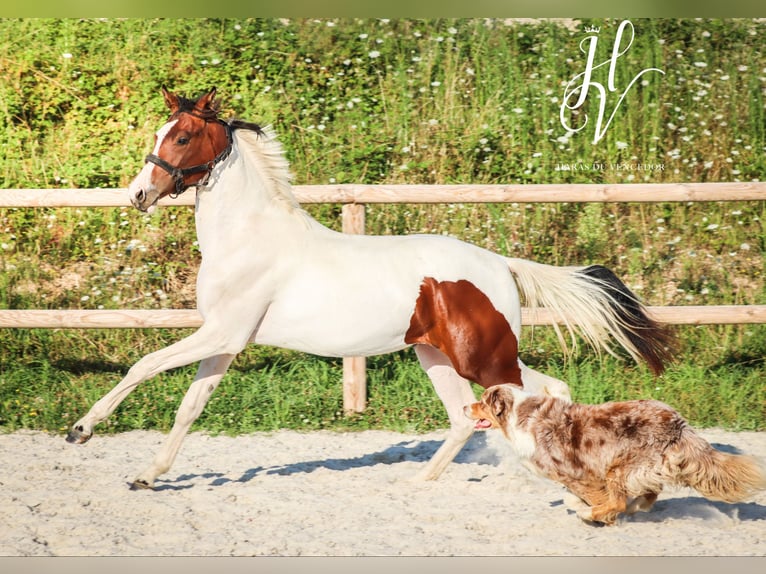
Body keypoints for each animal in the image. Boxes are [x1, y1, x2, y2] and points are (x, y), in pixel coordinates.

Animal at [67, 88, 680, 492]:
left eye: (183, 135)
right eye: (159, 133)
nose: (138, 194)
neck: (248, 238)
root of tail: (500, 264)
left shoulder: (222, 332)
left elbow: (143, 365)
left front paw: (81, 431)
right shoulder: (226, 340)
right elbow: (189, 408)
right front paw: (147, 475)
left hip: (485, 357)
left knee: (548, 389)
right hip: (436, 356)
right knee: (466, 417)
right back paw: (420, 482)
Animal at [464, 388, 764, 528]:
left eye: (482, 400)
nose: (465, 406)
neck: (519, 416)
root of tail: (679, 423)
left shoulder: (577, 472)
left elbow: (593, 499)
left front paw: (598, 517)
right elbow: (571, 497)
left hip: (620, 467)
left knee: (624, 497)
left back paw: (607, 511)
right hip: (644, 467)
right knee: (650, 493)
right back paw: (634, 507)